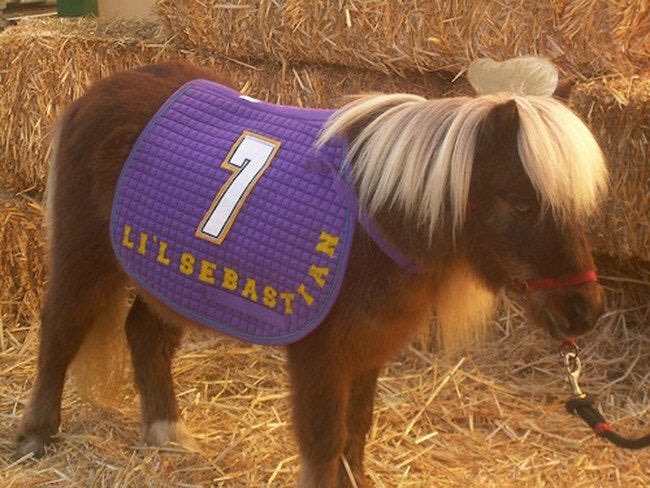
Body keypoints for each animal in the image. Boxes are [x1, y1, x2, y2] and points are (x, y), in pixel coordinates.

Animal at [15, 60, 607, 487]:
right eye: (523, 203)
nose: (585, 311)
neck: (375, 219)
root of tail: (98, 92)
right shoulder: (320, 357)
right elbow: (325, 439)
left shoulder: (367, 350)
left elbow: (356, 434)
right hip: (85, 260)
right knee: (60, 333)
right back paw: (36, 437)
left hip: (171, 280)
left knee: (145, 335)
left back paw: (167, 433)